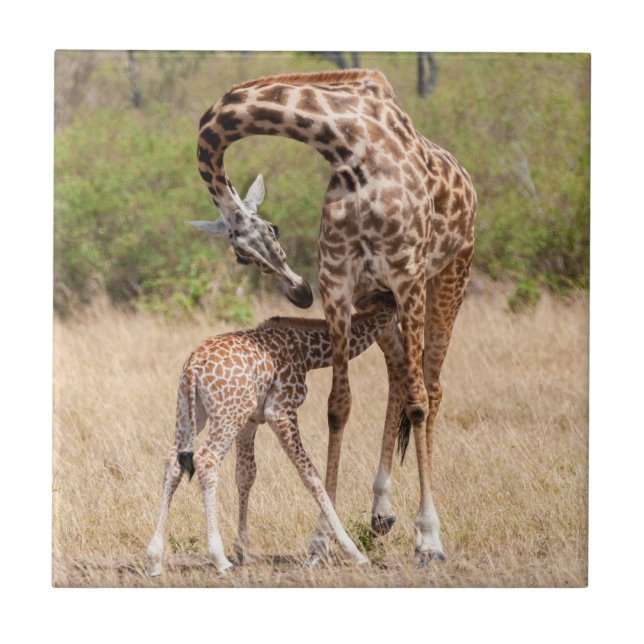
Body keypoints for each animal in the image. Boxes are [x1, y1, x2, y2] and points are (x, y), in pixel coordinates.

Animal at [145, 294, 399, 576]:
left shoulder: (250, 421)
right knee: (206, 460)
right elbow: (311, 475)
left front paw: (242, 550)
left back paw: (154, 559)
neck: (307, 352)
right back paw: (219, 558)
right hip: (227, 413)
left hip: (191, 412)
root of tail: (193, 368)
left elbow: (245, 475)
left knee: (172, 462)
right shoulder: (280, 411)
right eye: (395, 324)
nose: (399, 350)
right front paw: (353, 552)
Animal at [192, 68, 476, 564]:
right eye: (242, 256)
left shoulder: (407, 274)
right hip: (378, 300)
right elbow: (338, 407)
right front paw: (321, 539)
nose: (299, 292)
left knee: (430, 387)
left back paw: (419, 529)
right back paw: (381, 513)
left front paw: (430, 538)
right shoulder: (340, 283)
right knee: (398, 375)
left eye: (273, 229)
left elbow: (419, 402)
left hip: (450, 276)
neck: (350, 146)